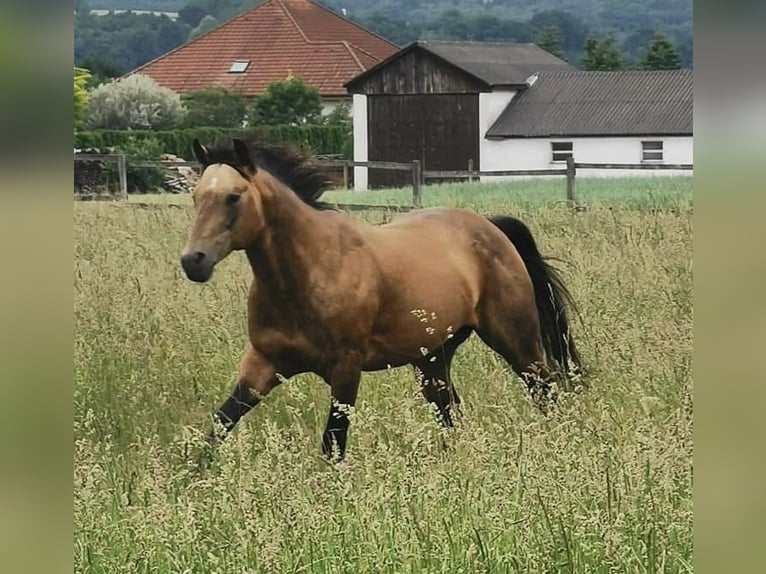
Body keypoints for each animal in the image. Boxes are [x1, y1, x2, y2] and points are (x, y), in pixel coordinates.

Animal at [182, 136, 584, 464]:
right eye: (196, 197)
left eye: (233, 196)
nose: (193, 261)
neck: (309, 272)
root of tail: (492, 227)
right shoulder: (263, 363)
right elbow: (218, 426)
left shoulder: (346, 369)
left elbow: (333, 444)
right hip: (433, 359)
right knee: (450, 412)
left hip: (515, 341)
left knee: (544, 391)